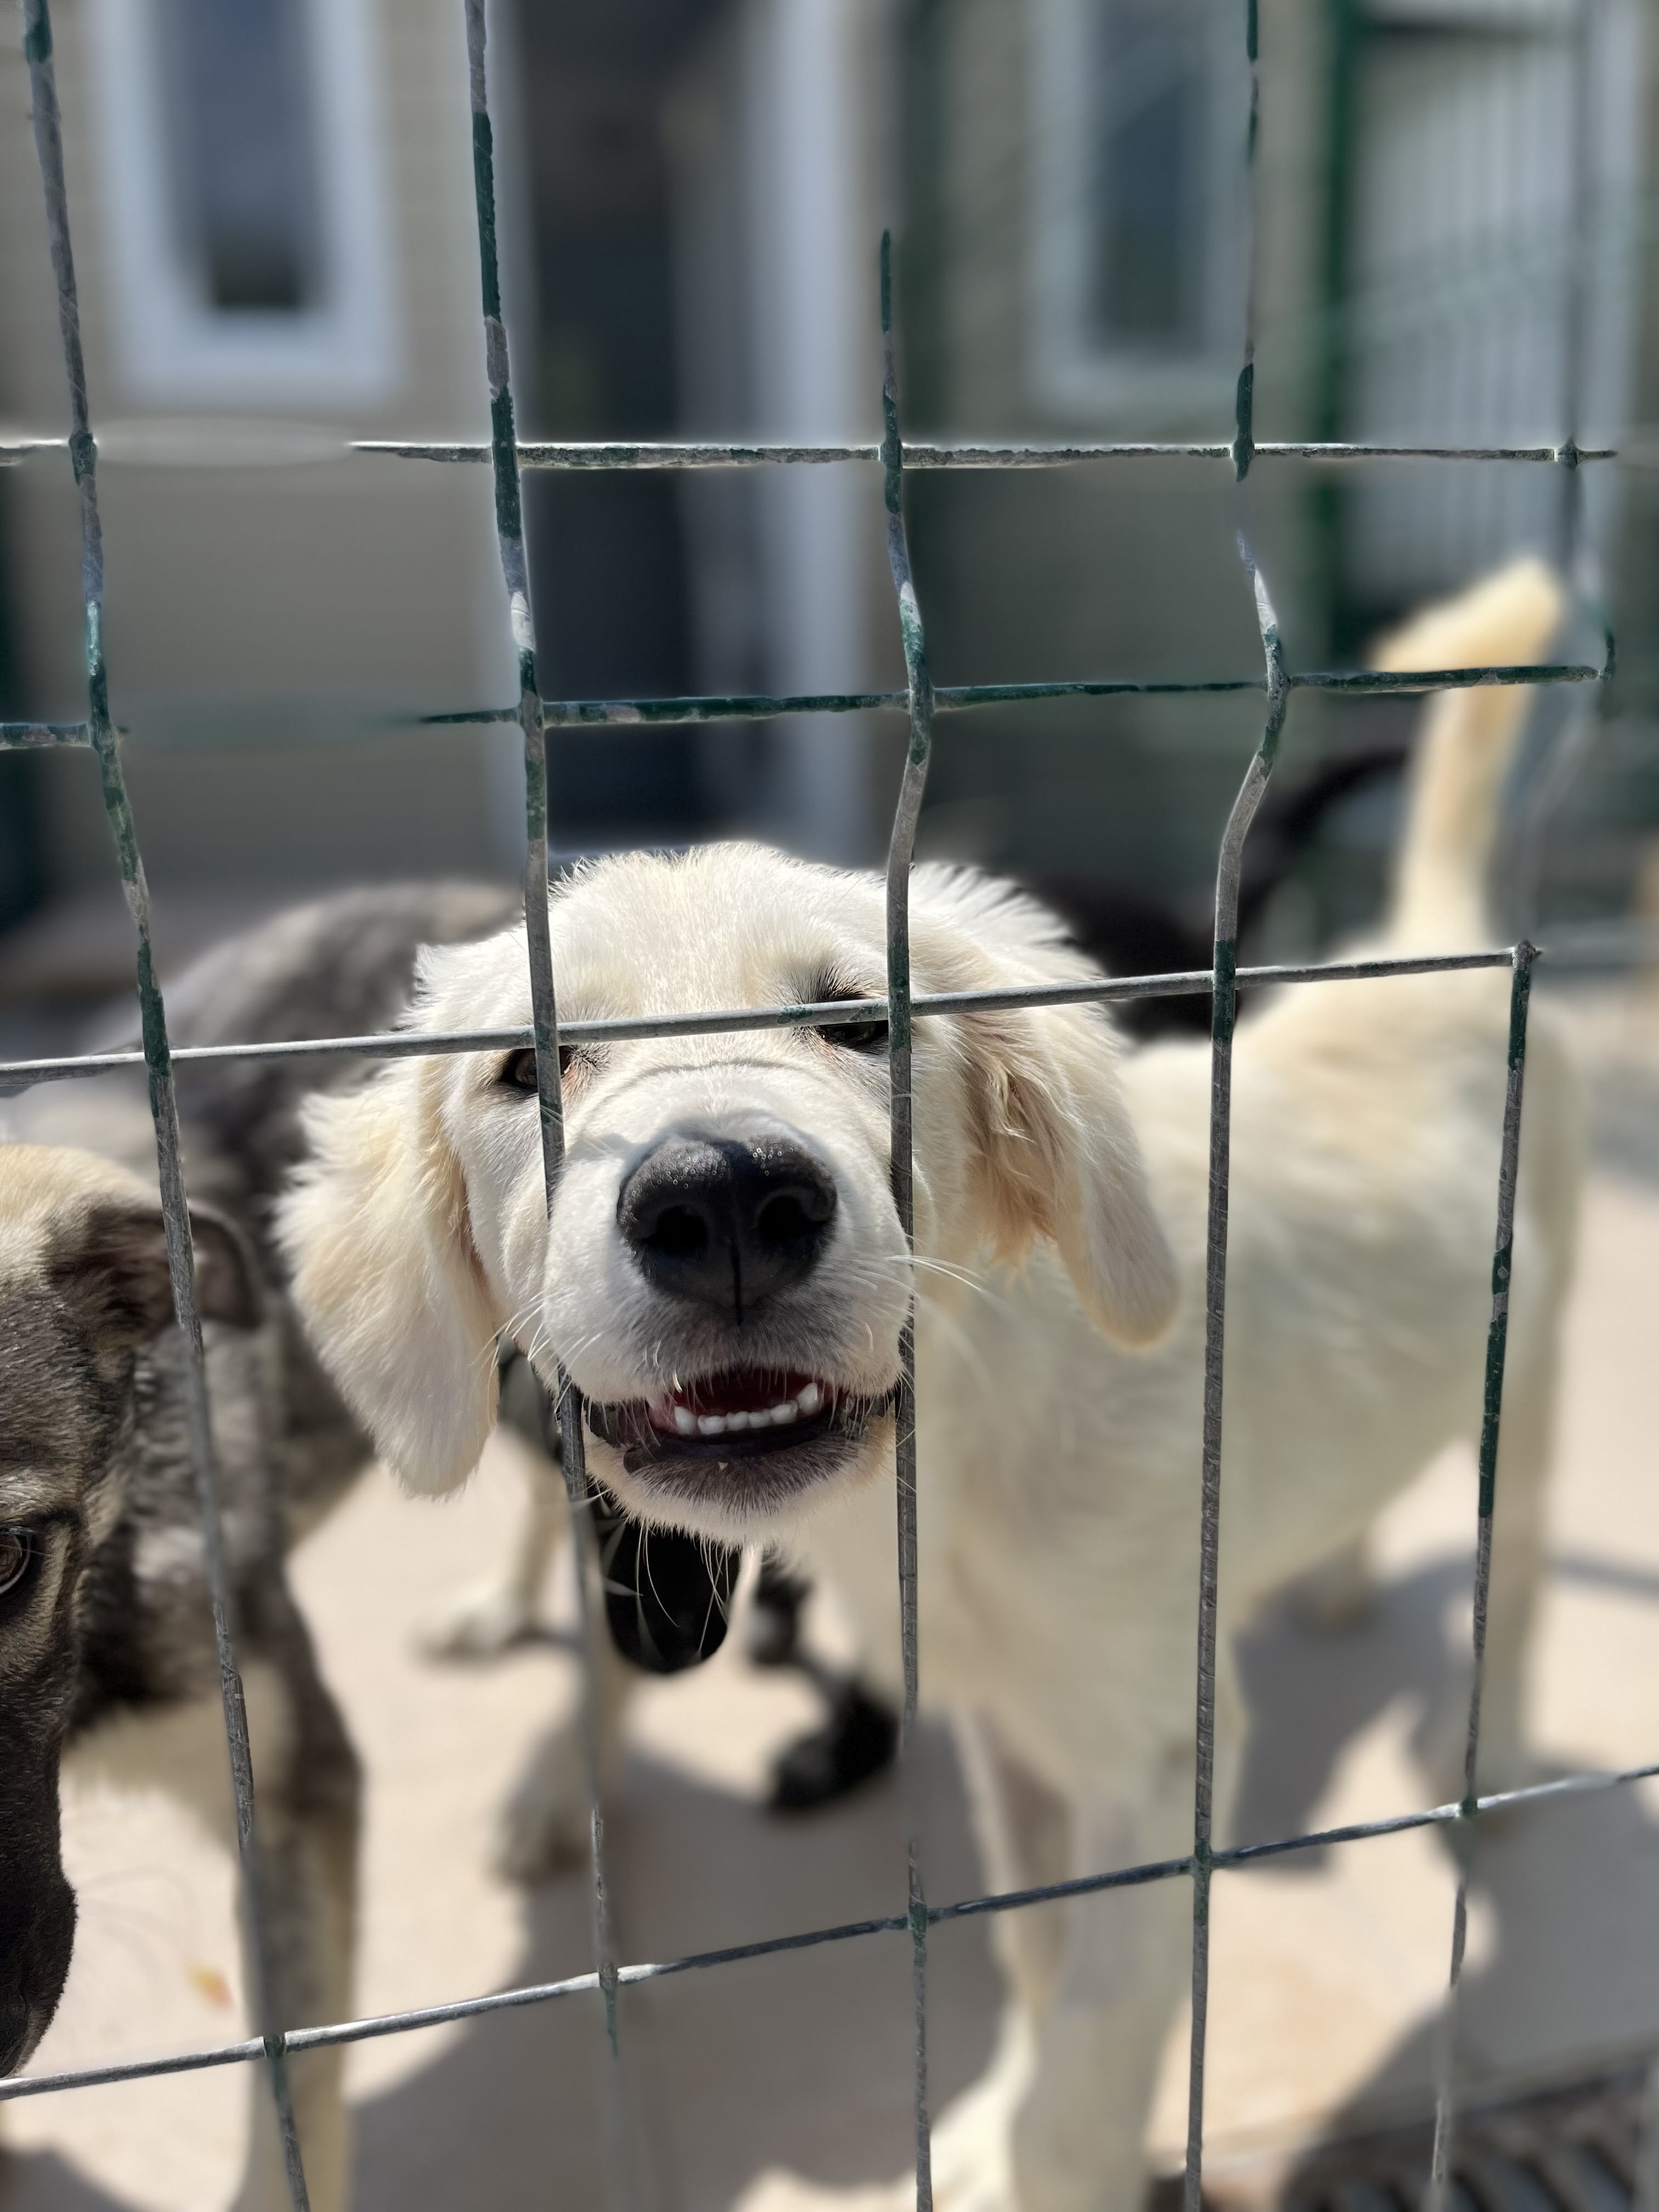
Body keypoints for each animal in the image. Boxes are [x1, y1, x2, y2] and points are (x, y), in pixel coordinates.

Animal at [280, 566, 1575, 2212]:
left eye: (864, 1019)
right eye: (527, 1067)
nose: (726, 1198)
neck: (952, 1464)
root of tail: (1446, 960)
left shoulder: (1155, 1755)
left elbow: (1088, 2060)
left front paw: (1051, 2159)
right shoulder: (1017, 1746)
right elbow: (1037, 1971)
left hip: (1533, 1383)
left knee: (1519, 1576)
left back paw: (1507, 1746)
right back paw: (1337, 1575)